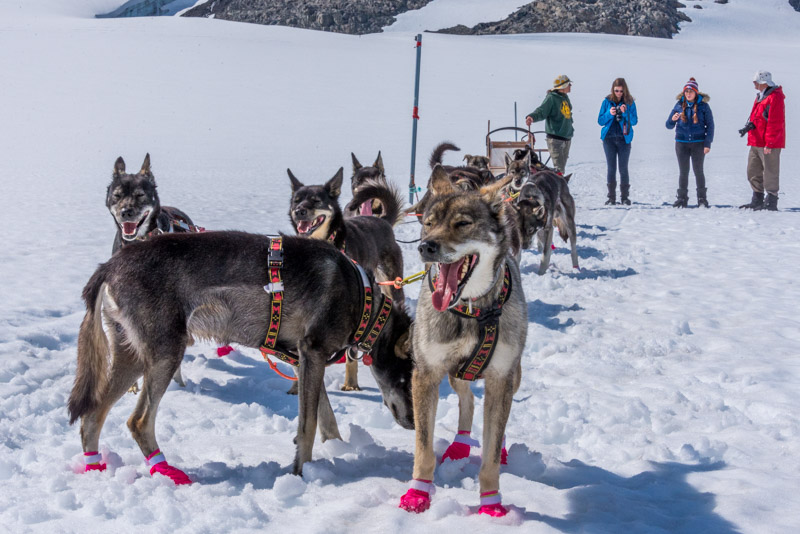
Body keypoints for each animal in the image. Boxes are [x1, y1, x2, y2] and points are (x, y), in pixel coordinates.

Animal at [69, 234, 416, 482]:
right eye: (409, 382)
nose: (414, 423)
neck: (364, 301)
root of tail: (110, 265)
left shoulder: (302, 358)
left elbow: (325, 416)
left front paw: (338, 449)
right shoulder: (312, 352)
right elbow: (308, 425)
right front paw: (300, 474)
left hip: (132, 357)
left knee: (92, 415)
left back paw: (95, 469)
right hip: (166, 353)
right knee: (138, 421)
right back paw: (169, 472)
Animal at [398, 174, 524, 516]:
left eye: (463, 223)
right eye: (428, 224)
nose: (426, 246)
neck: (472, 310)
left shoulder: (500, 377)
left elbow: (490, 453)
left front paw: (491, 503)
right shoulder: (426, 373)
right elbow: (423, 448)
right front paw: (419, 493)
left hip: (513, 375)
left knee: (496, 416)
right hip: (456, 373)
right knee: (466, 399)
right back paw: (460, 444)